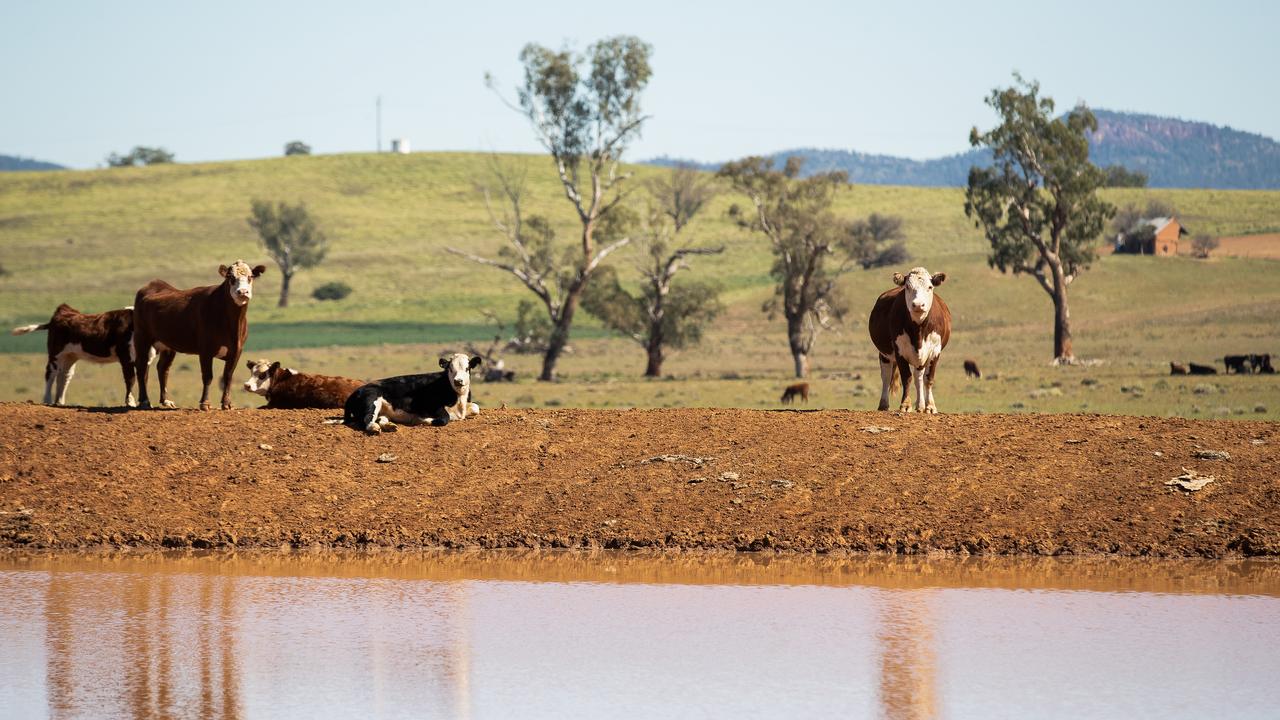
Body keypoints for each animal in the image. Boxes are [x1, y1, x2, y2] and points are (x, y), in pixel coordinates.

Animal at [10, 301, 154, 404]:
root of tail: (62, 312)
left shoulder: (145, 358)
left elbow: (144, 378)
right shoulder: (126, 356)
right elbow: (131, 379)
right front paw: (130, 403)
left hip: (70, 356)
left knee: (64, 376)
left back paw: (60, 402)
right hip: (56, 353)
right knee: (51, 374)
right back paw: (47, 400)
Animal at [133, 258, 266, 409]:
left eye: (250, 277)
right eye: (231, 278)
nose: (242, 292)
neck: (231, 324)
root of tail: (153, 284)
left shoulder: (237, 350)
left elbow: (228, 376)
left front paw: (227, 403)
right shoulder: (205, 349)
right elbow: (208, 376)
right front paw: (205, 403)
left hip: (167, 344)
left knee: (162, 368)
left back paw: (165, 400)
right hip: (142, 336)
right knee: (141, 365)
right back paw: (144, 401)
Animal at [343, 351, 481, 430]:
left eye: (467, 368)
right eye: (450, 369)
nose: (458, 381)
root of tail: (356, 391)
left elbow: (476, 408)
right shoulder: (429, 405)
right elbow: (444, 418)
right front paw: (423, 420)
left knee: (380, 419)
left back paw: (390, 426)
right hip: (372, 398)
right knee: (367, 419)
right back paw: (374, 428)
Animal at [870, 265, 952, 412]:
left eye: (930, 287)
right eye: (907, 286)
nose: (918, 305)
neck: (918, 330)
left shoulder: (935, 351)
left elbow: (928, 378)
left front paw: (930, 406)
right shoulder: (900, 351)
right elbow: (906, 377)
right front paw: (906, 405)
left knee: (918, 377)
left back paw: (920, 405)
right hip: (885, 354)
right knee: (886, 376)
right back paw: (883, 405)